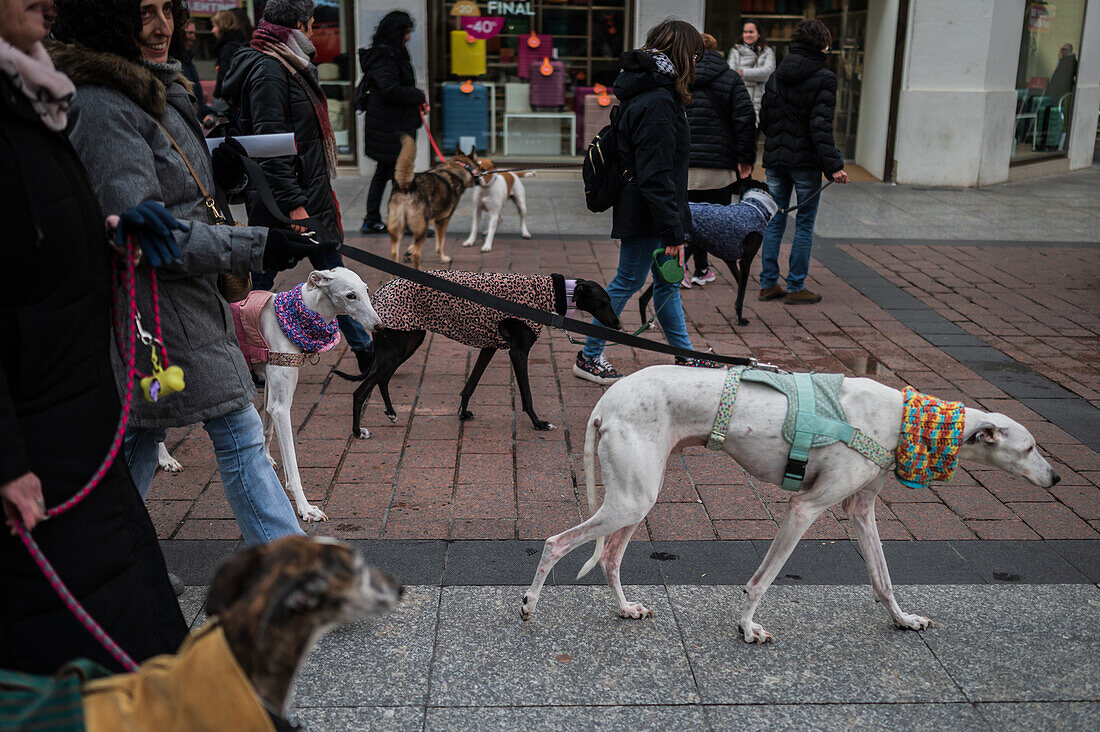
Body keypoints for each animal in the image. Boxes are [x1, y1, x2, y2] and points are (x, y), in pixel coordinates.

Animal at [387, 133, 481, 268]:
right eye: (478, 165)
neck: (458, 167)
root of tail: (407, 185)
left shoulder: (430, 220)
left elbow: (414, 243)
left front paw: (408, 251)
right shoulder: (442, 220)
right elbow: (439, 245)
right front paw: (443, 258)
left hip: (401, 227)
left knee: (394, 253)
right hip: (420, 226)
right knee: (417, 254)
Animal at [519, 365, 1060, 638]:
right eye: (1031, 447)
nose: (1055, 477)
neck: (905, 419)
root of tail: (605, 401)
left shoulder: (860, 511)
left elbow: (883, 578)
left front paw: (903, 620)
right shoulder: (804, 509)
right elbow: (761, 580)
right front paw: (746, 627)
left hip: (639, 496)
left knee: (609, 556)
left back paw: (626, 609)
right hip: (631, 499)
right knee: (556, 541)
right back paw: (528, 606)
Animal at [642, 177, 778, 325]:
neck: (756, 206)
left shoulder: (730, 259)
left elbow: (740, 286)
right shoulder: (745, 261)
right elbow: (741, 295)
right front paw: (740, 319)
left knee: (643, 296)